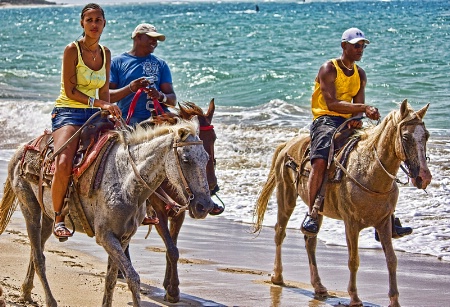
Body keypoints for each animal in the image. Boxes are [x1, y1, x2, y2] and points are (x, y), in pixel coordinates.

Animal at [0, 116, 214, 306]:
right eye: (185, 159)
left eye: (206, 158)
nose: (204, 206)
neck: (125, 178)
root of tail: (21, 150)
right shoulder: (106, 237)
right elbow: (133, 278)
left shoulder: (123, 237)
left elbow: (111, 279)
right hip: (30, 208)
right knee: (38, 258)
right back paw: (50, 301)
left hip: (47, 216)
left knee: (36, 250)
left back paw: (26, 292)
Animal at [141, 99, 218, 304]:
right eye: (185, 158)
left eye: (214, 138)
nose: (212, 186)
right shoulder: (158, 214)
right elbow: (172, 250)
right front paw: (173, 290)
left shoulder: (179, 213)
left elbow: (173, 248)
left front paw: (169, 285)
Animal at [253, 100, 432, 306]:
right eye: (405, 136)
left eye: (426, 136)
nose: (424, 177)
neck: (369, 170)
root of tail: (286, 145)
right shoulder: (351, 224)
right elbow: (353, 260)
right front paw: (354, 297)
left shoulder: (384, 222)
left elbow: (392, 259)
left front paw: (394, 300)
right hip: (286, 196)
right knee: (279, 232)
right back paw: (277, 276)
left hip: (318, 210)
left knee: (310, 240)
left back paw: (318, 286)